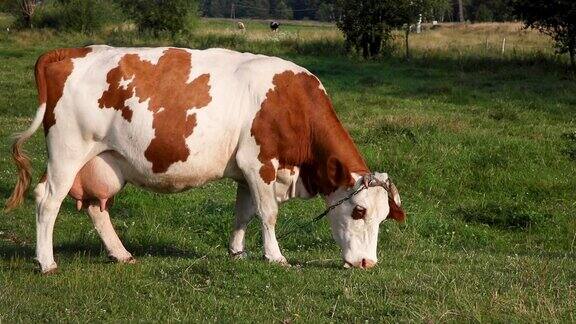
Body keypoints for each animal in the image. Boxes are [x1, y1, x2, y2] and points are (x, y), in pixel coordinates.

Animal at [5, 45, 404, 274]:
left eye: (384, 215)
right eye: (359, 211)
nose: (368, 263)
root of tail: (68, 52)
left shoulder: (245, 171)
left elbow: (243, 213)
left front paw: (237, 253)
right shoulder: (259, 162)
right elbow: (268, 214)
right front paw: (275, 257)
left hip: (103, 161)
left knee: (95, 207)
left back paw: (121, 254)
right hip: (67, 151)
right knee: (47, 201)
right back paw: (47, 262)